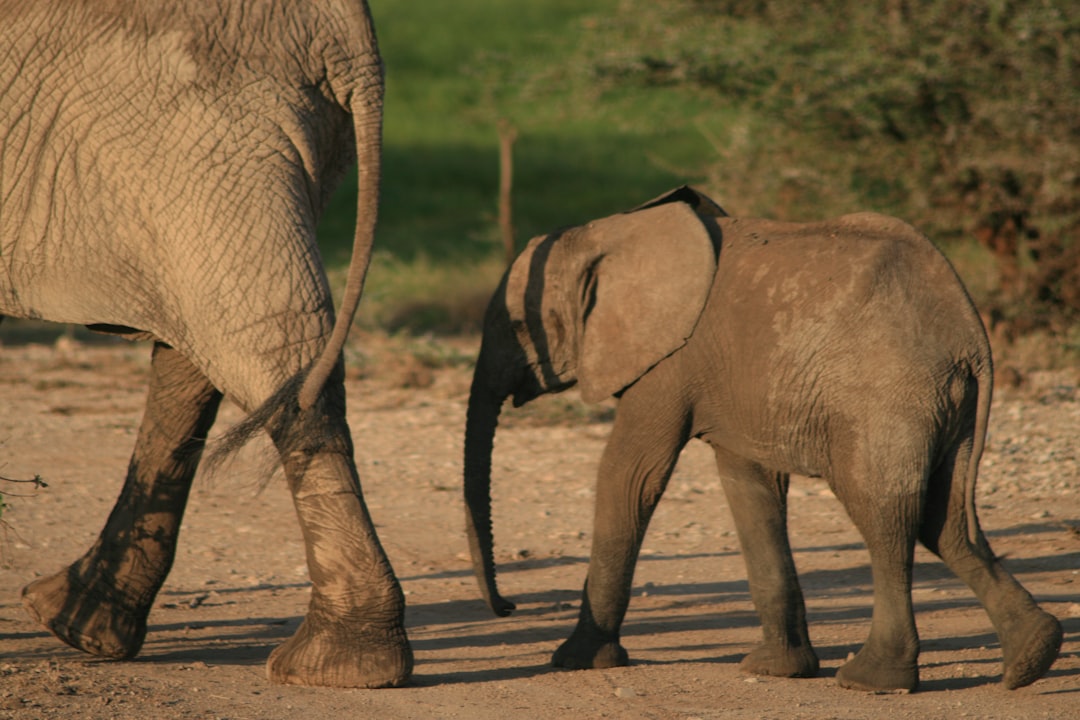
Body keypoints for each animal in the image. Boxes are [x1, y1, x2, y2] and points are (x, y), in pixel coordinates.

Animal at [0, 0, 410, 686]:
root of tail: (351, 36)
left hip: (199, 134)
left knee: (258, 342)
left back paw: (338, 668)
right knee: (209, 351)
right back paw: (81, 627)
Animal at [460, 188, 1058, 695]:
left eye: (520, 326)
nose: (508, 608)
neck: (614, 230)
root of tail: (972, 336)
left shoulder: (667, 362)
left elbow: (631, 476)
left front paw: (575, 660)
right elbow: (750, 487)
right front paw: (777, 671)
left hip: (889, 396)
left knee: (887, 518)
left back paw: (872, 681)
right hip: (947, 406)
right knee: (946, 519)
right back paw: (1033, 658)